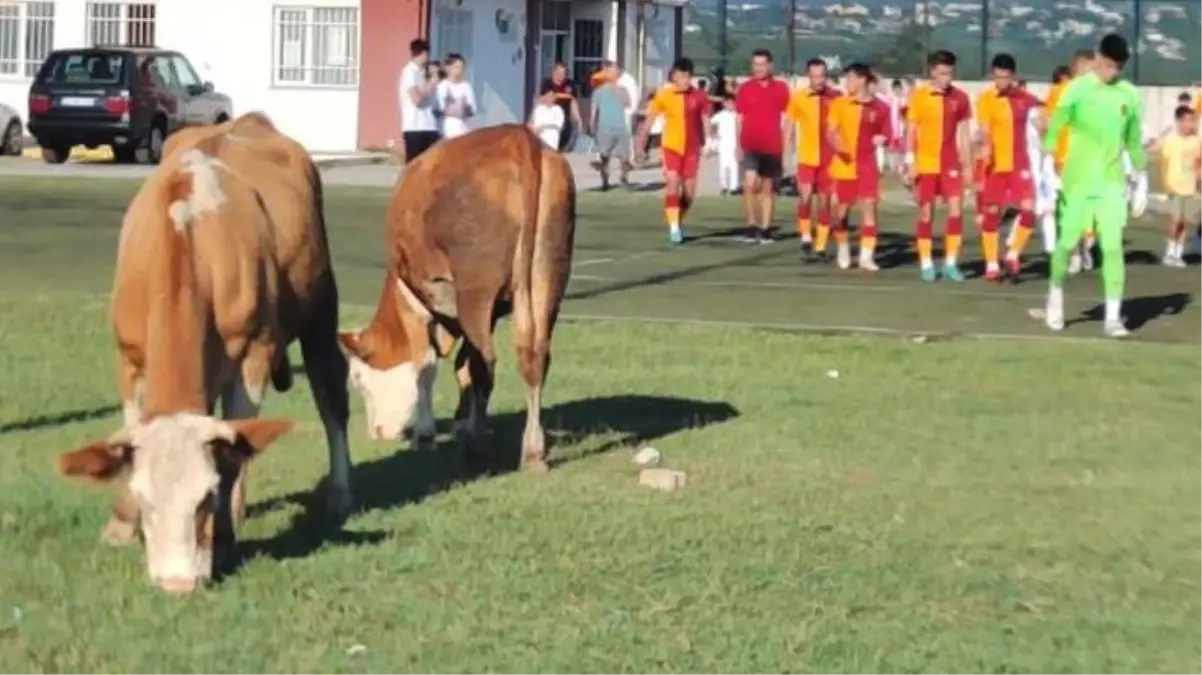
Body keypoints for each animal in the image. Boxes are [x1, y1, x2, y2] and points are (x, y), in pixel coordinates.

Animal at [56, 112, 350, 590]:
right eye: (144, 499)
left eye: (205, 497)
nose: (177, 585)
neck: (185, 236)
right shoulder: (129, 357)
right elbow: (127, 434)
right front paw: (121, 525)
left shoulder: (253, 355)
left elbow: (234, 450)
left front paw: (225, 532)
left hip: (321, 307)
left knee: (331, 396)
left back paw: (340, 492)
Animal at [341, 123, 574, 470]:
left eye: (357, 379)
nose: (377, 433)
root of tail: (519, 139)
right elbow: (462, 363)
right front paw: (461, 419)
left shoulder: (412, 297)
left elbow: (426, 365)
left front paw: (425, 434)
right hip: (547, 274)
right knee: (533, 356)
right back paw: (531, 450)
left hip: (474, 289)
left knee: (486, 362)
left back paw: (476, 444)